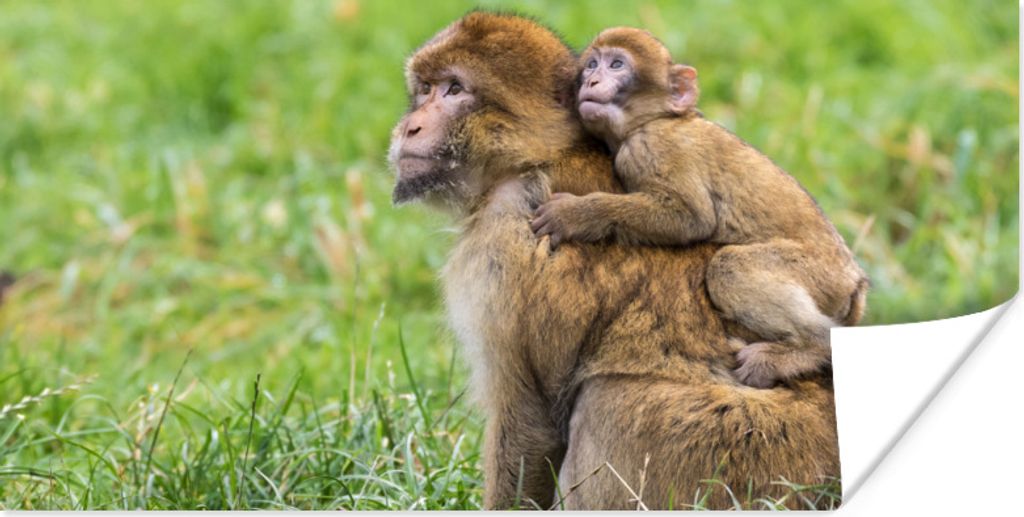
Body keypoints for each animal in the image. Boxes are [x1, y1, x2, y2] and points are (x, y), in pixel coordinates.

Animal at [530, 27, 869, 389]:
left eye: (616, 64)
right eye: (592, 64)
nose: (591, 80)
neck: (655, 119)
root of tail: (854, 282)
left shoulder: (651, 148)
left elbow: (691, 219)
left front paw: (576, 214)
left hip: (817, 273)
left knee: (729, 266)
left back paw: (805, 349)